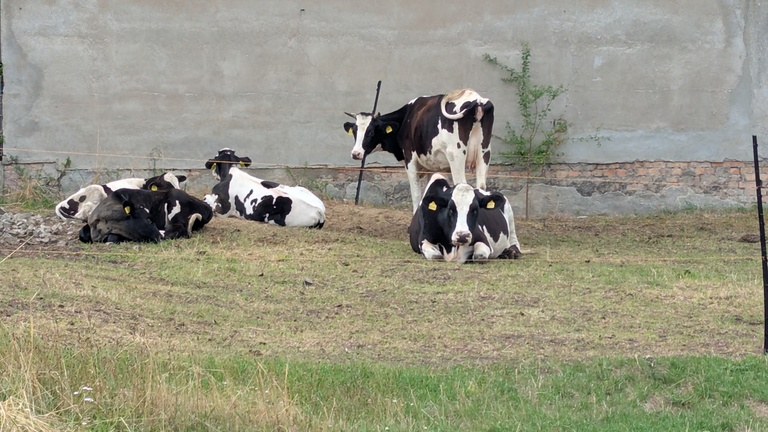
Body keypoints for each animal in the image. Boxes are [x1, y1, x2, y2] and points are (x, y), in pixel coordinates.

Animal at [79, 187, 213, 243]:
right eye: (148, 220)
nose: (158, 236)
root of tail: (207, 207)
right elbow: (82, 234)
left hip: (175, 200)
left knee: (179, 228)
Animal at [344, 88, 494, 213]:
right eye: (355, 131)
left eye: (371, 132)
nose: (355, 153)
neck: (407, 117)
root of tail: (477, 100)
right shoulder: (432, 167)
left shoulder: (410, 159)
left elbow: (416, 194)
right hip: (484, 154)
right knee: (481, 187)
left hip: (456, 157)